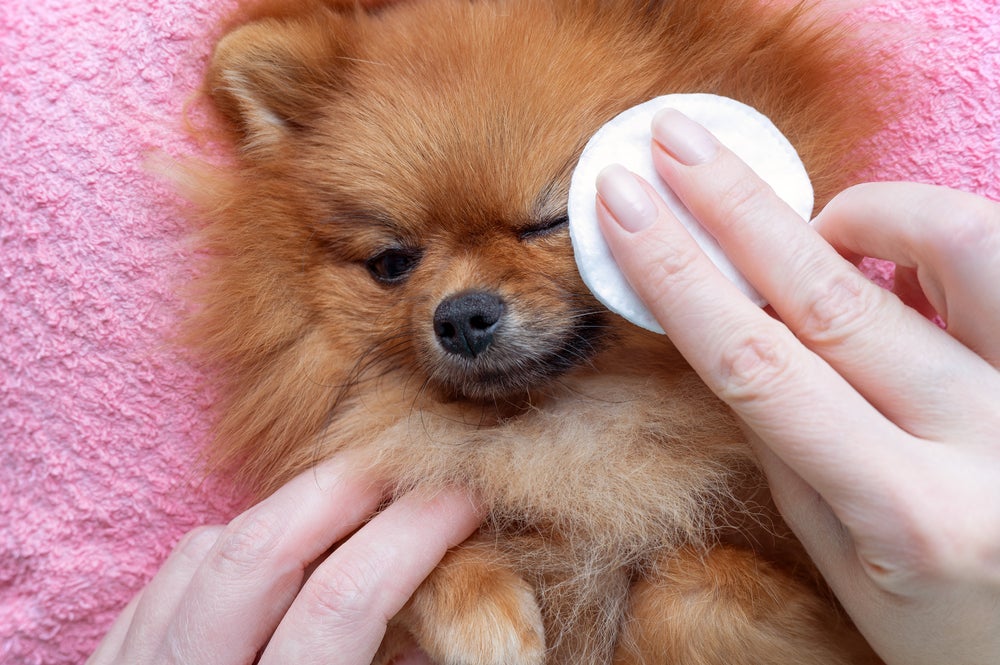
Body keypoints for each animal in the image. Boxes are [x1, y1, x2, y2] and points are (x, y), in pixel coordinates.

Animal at [184, 2, 888, 660]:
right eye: (391, 263)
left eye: (554, 221)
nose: (460, 315)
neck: (565, 428)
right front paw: (480, 617)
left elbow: (687, 587)